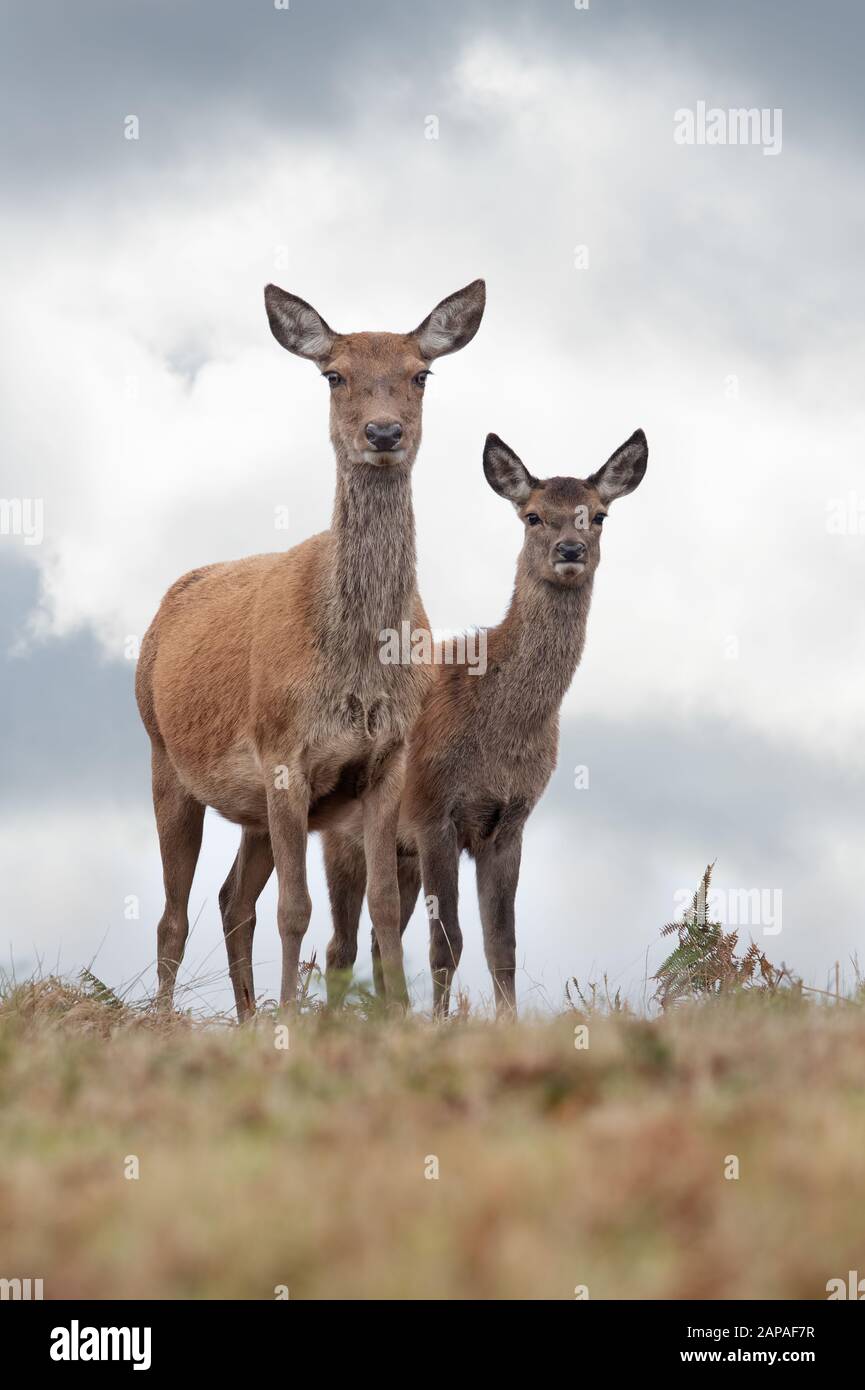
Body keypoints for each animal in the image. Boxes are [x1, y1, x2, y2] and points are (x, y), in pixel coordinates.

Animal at [135, 278, 486, 1020]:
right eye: (334, 374)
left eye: (421, 373)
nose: (383, 432)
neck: (356, 662)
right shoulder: (282, 752)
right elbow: (294, 910)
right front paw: (292, 1021)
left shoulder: (387, 759)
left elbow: (384, 908)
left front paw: (396, 1018)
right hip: (163, 756)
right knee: (174, 914)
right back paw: (165, 1018)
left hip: (249, 811)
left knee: (230, 899)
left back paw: (244, 1017)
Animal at [320, 427, 648, 1016]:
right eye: (533, 516)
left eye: (599, 515)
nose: (570, 550)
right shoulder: (433, 811)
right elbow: (447, 941)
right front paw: (439, 1024)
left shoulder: (510, 822)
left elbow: (503, 943)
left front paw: (505, 1021)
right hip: (344, 836)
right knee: (342, 944)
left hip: (398, 856)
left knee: (380, 942)